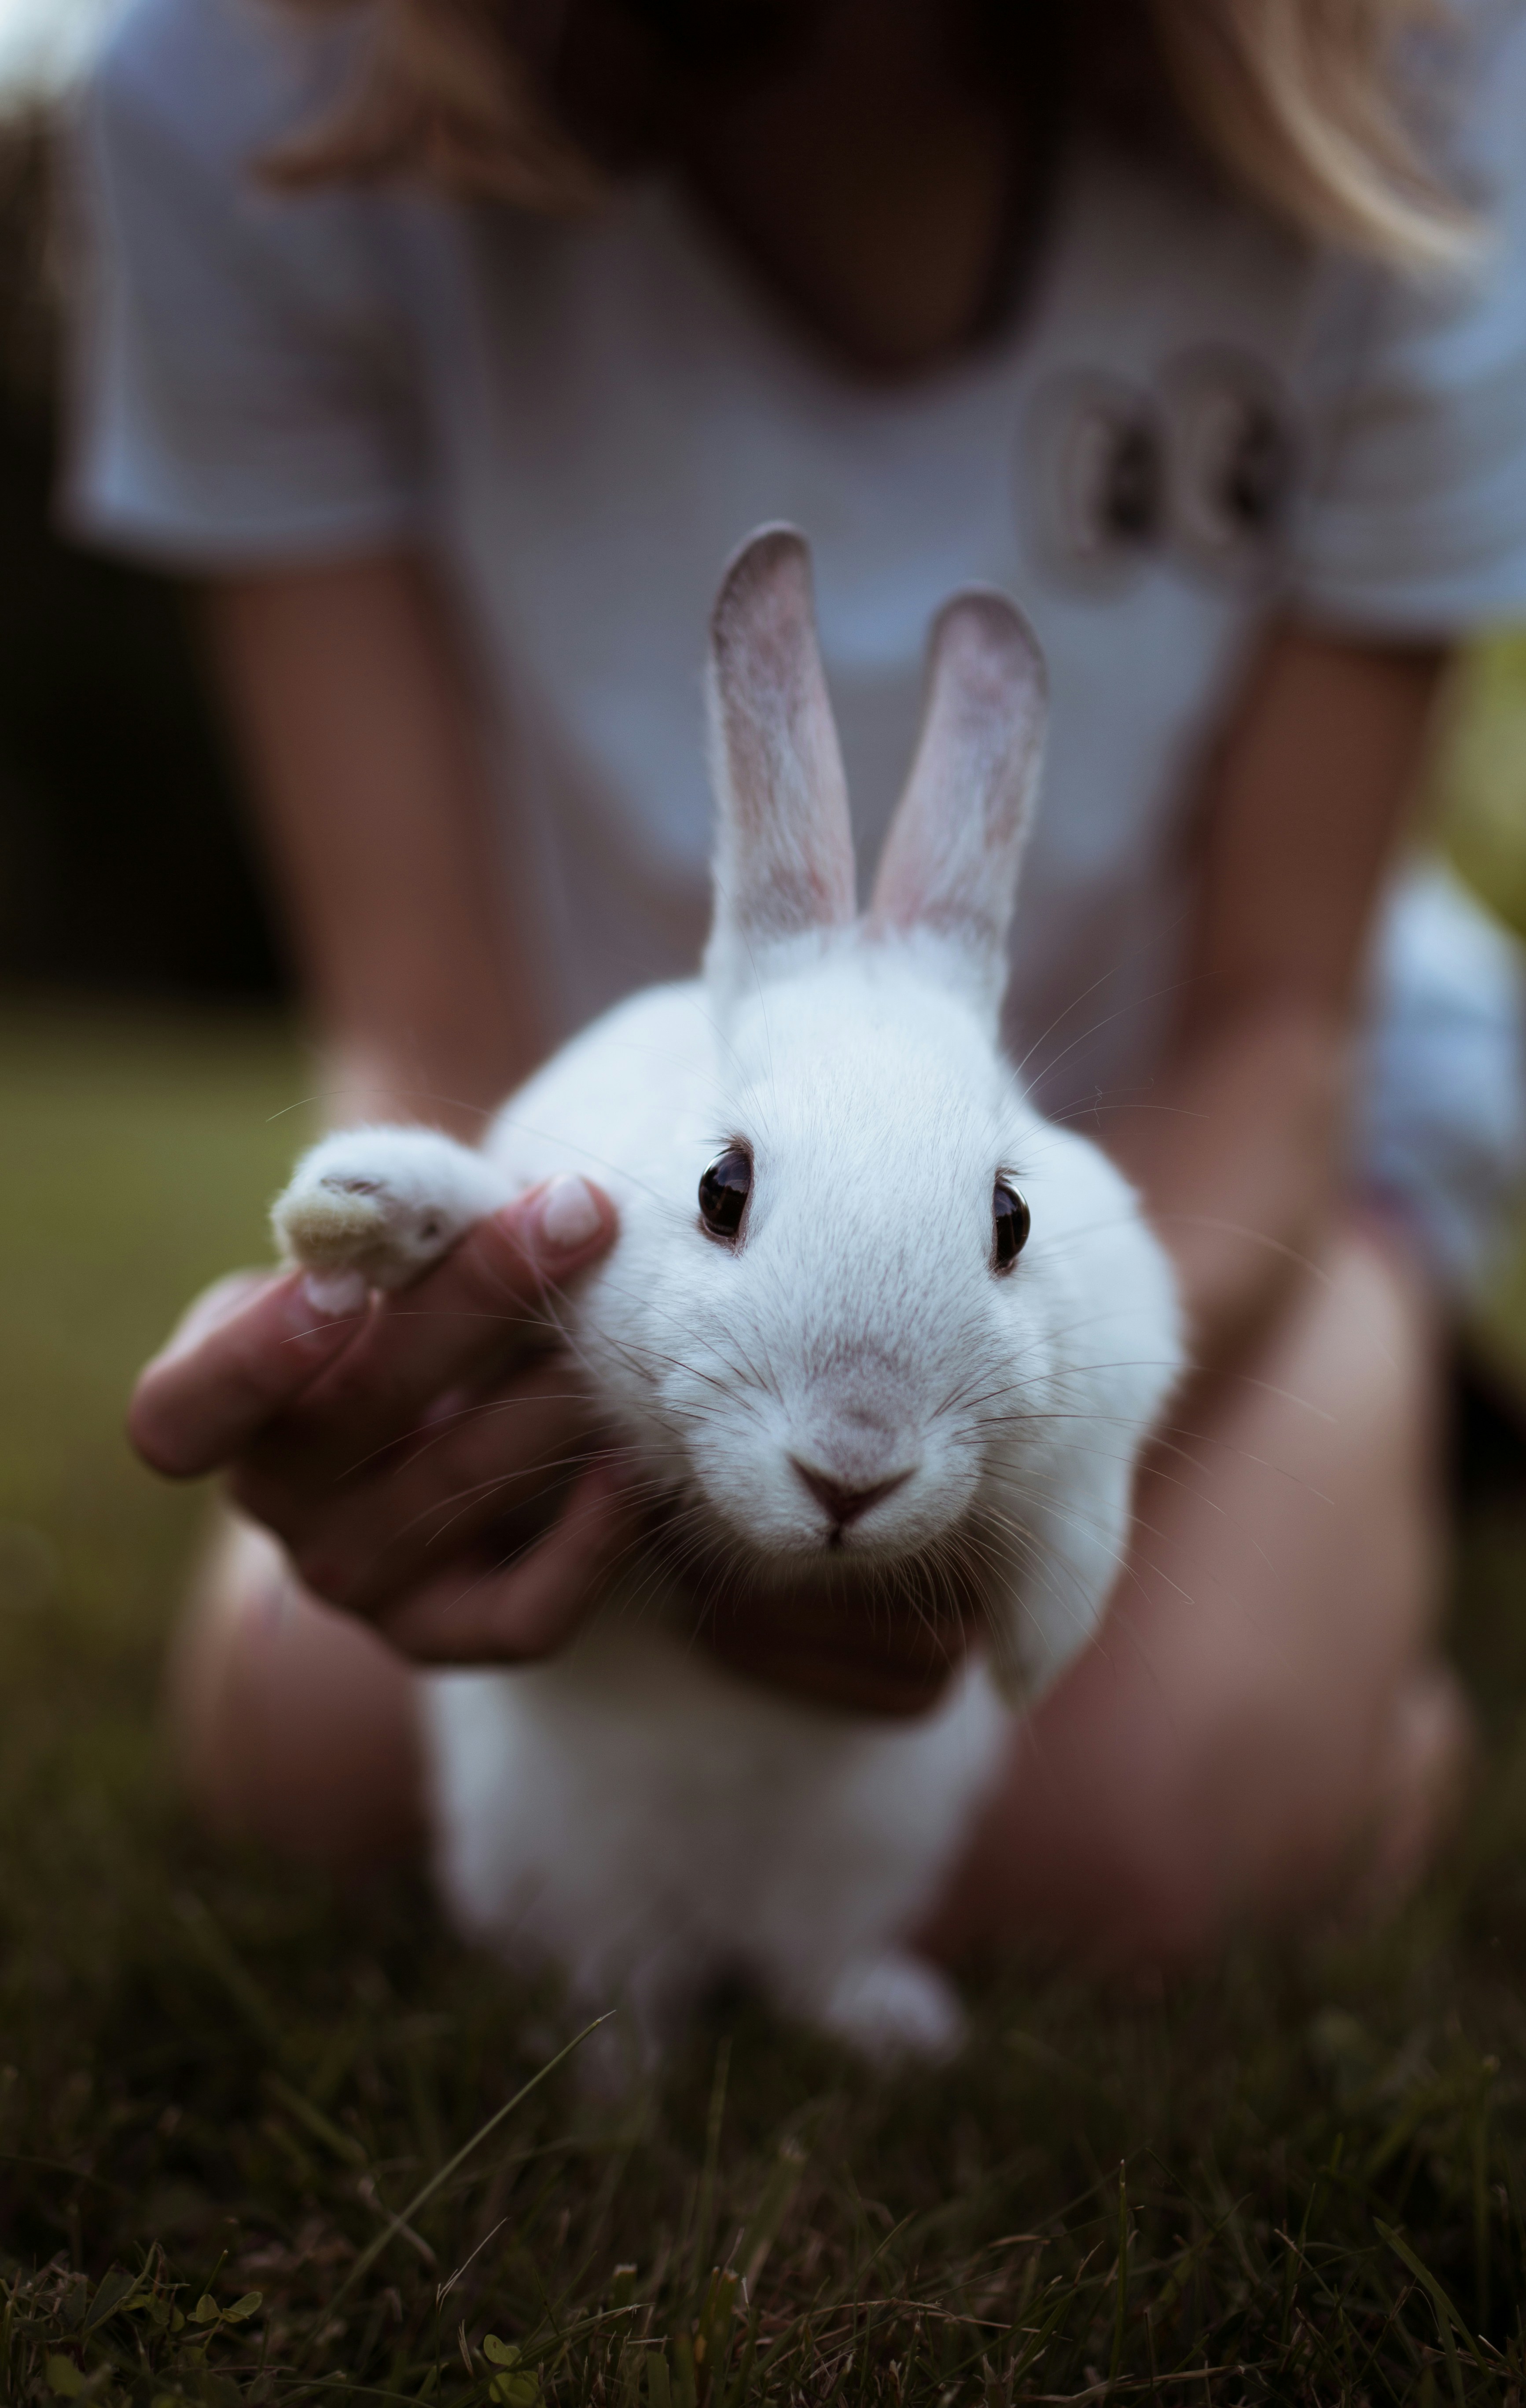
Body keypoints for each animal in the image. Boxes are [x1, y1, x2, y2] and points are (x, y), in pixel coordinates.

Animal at [271, 526, 1183, 2065]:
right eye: (719, 1190)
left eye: (1009, 1218)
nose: (851, 1471)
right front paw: (364, 1207)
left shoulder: (1120, 1355)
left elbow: (1083, 1510)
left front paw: (1035, 1652)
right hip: (571, 1857)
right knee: (619, 1970)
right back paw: (619, 2077)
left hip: (867, 1851)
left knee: (805, 1958)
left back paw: (892, 2032)